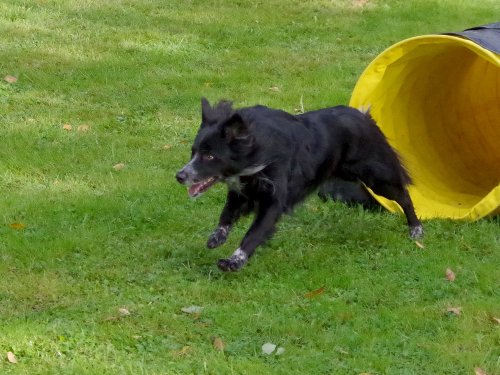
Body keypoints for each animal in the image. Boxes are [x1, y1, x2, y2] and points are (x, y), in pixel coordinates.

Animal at [176, 98, 422, 272]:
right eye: (193, 152)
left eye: (209, 156)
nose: (179, 176)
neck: (257, 148)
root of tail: (364, 117)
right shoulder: (240, 193)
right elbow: (225, 216)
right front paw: (216, 238)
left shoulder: (273, 202)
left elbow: (254, 234)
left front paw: (234, 261)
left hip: (377, 177)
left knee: (404, 196)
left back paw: (416, 229)